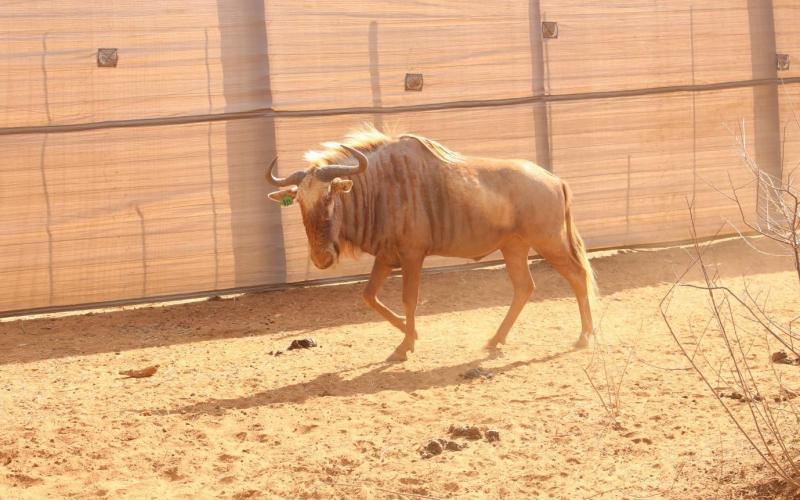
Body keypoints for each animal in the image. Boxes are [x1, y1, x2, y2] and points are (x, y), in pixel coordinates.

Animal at [266, 125, 598, 361]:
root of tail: (555, 180)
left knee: (577, 276)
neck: (380, 187)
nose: (321, 258)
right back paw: (495, 340)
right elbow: (369, 296)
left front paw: (405, 345)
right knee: (524, 287)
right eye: (300, 202)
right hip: (513, 247)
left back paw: (584, 336)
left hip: (549, 242)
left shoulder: (412, 255)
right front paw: (409, 334)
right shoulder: (386, 257)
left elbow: (409, 299)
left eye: (331, 197)